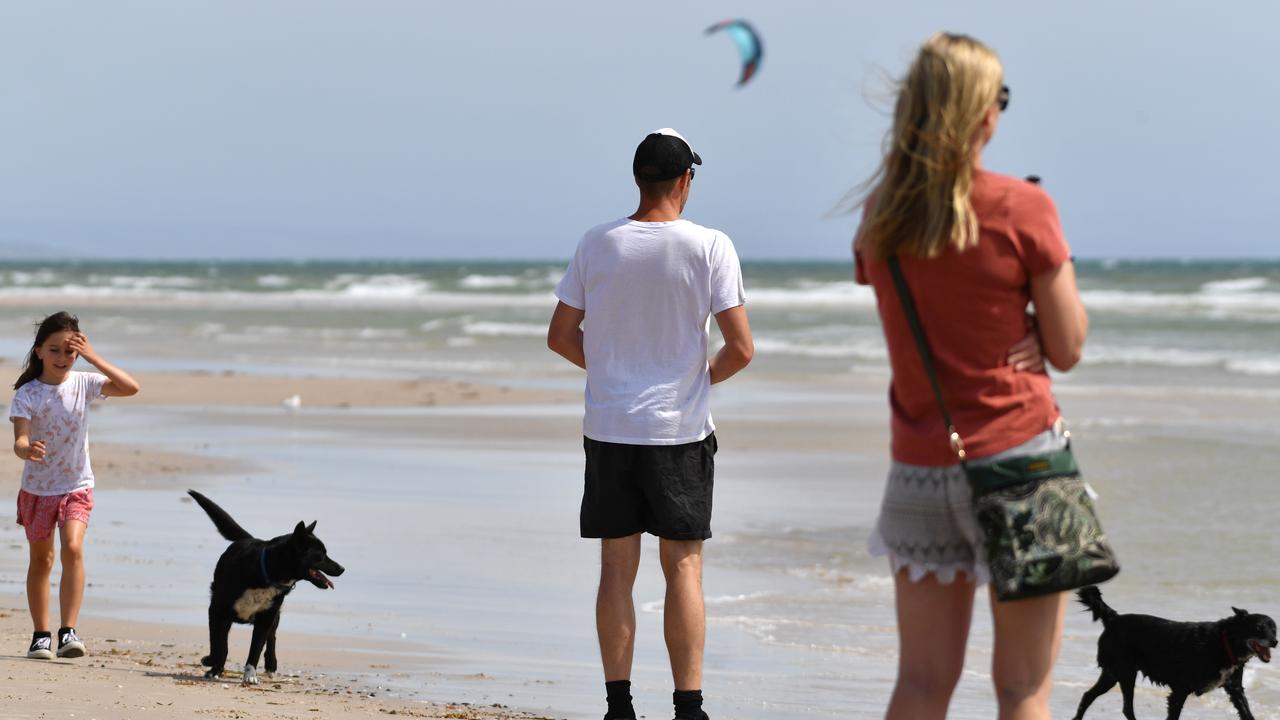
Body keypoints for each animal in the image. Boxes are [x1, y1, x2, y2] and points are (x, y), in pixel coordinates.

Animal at [185, 486, 345, 681]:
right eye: (320, 555)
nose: (342, 568)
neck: (266, 572)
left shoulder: (266, 617)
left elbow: (256, 648)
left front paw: (250, 676)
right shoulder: (217, 611)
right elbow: (219, 645)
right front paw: (212, 663)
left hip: (274, 616)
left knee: (272, 637)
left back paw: (271, 665)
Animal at [1075, 586, 1274, 712]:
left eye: (1274, 629)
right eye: (1258, 628)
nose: (1275, 641)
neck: (1224, 642)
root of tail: (1114, 618)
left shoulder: (1236, 690)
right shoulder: (1180, 690)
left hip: (1112, 674)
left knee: (1088, 696)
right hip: (1124, 673)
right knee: (1125, 707)